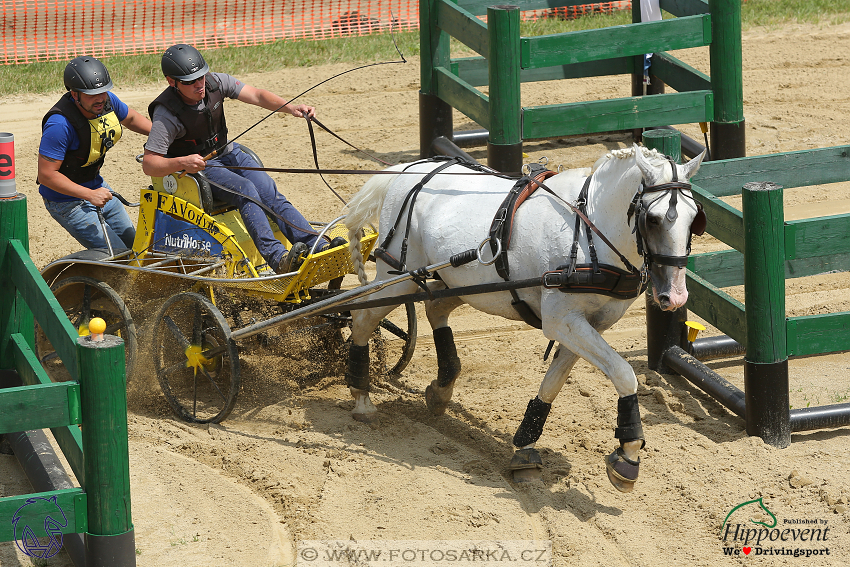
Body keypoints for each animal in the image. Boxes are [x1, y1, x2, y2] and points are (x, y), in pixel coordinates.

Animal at [342, 143, 704, 492]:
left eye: (694, 219)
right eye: (653, 219)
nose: (675, 296)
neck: (589, 232)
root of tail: (408, 169)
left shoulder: (588, 325)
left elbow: (554, 383)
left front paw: (525, 447)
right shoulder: (562, 321)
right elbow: (624, 373)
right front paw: (628, 455)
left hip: (460, 284)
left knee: (434, 308)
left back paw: (441, 388)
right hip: (398, 278)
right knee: (362, 318)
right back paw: (361, 398)